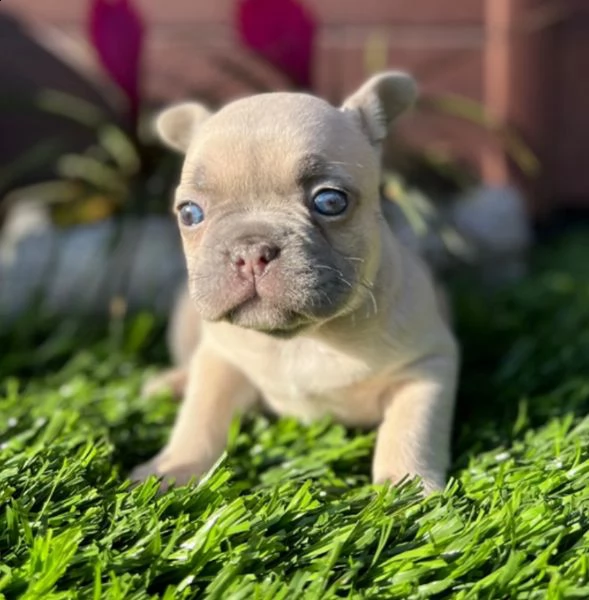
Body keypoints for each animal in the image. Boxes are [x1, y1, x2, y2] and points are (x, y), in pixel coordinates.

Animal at [133, 71, 460, 492]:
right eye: (189, 213)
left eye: (330, 202)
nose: (250, 250)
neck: (302, 339)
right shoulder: (220, 359)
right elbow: (200, 415)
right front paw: (172, 468)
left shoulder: (425, 366)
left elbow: (409, 428)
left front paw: (406, 486)